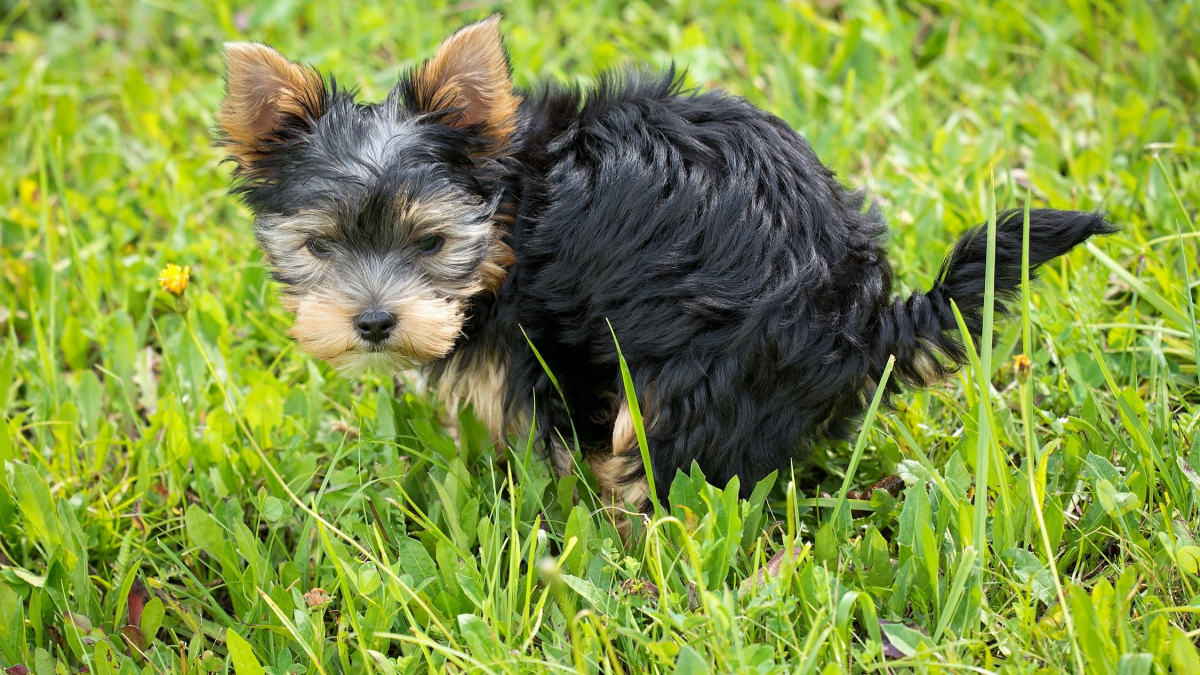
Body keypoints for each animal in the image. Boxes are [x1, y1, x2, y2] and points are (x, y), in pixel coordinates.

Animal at [216, 14, 1113, 509]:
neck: (511, 211)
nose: (373, 321)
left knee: (664, 456)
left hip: (705, 367)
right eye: (321, 246)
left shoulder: (547, 343)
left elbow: (547, 430)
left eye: (431, 243)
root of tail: (865, 315)